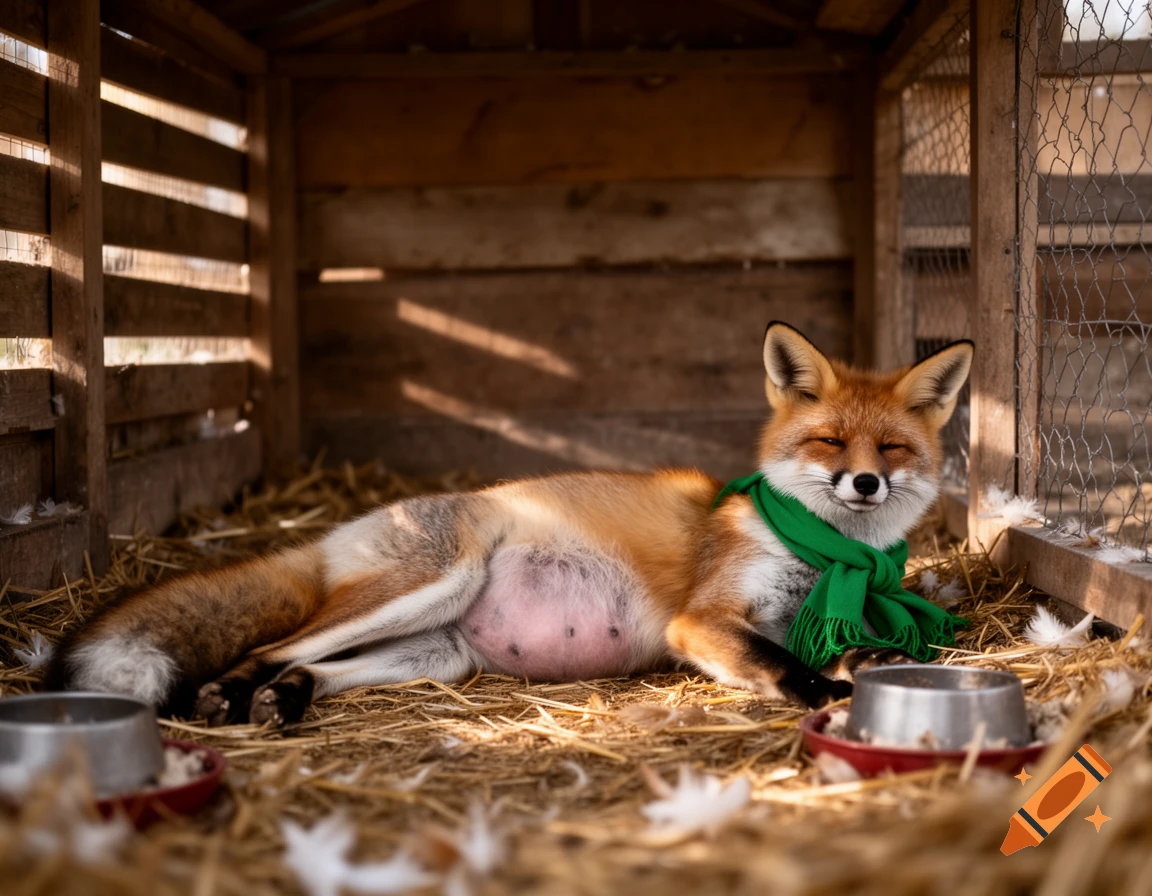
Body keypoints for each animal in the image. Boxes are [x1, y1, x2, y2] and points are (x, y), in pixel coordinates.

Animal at [46, 323, 974, 727]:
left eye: (893, 448)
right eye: (829, 442)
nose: (864, 481)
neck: (829, 554)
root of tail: (335, 530)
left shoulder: (789, 617)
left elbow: (841, 648)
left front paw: (869, 667)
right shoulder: (704, 618)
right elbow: (784, 666)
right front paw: (829, 697)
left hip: (438, 653)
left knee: (313, 666)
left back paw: (288, 698)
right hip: (434, 583)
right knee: (267, 646)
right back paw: (234, 694)